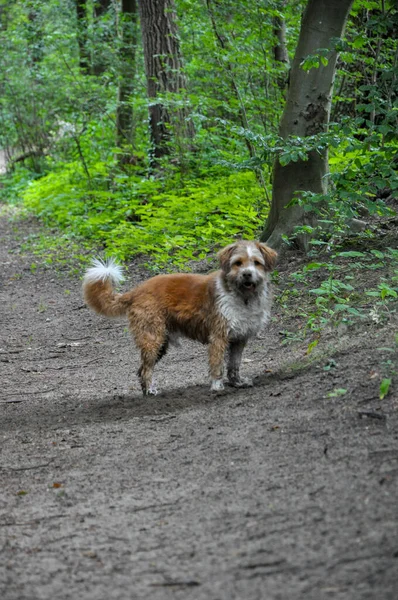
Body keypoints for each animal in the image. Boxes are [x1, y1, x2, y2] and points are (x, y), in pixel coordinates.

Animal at [82, 239, 276, 394]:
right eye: (238, 263)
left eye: (256, 263)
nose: (247, 274)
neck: (242, 297)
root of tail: (135, 291)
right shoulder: (218, 337)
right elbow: (217, 364)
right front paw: (217, 386)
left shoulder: (239, 339)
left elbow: (234, 364)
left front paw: (237, 382)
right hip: (153, 339)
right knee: (145, 369)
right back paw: (151, 390)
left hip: (160, 342)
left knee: (140, 369)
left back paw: (146, 392)